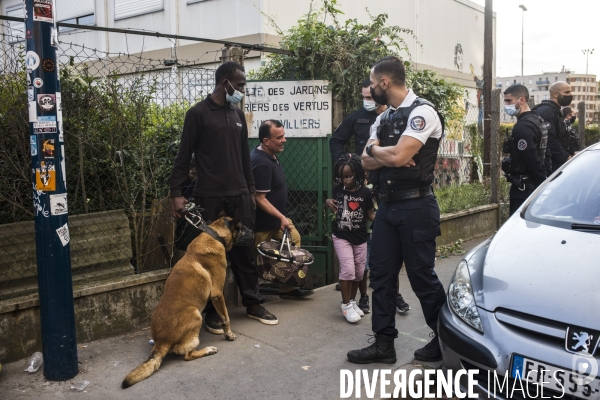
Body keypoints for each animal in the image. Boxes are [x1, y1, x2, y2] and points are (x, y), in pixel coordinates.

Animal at [123, 216, 238, 388]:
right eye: (242, 226)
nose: (252, 233)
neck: (214, 235)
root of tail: (162, 342)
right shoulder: (218, 294)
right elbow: (226, 318)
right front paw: (228, 334)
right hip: (196, 315)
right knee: (186, 354)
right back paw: (208, 350)